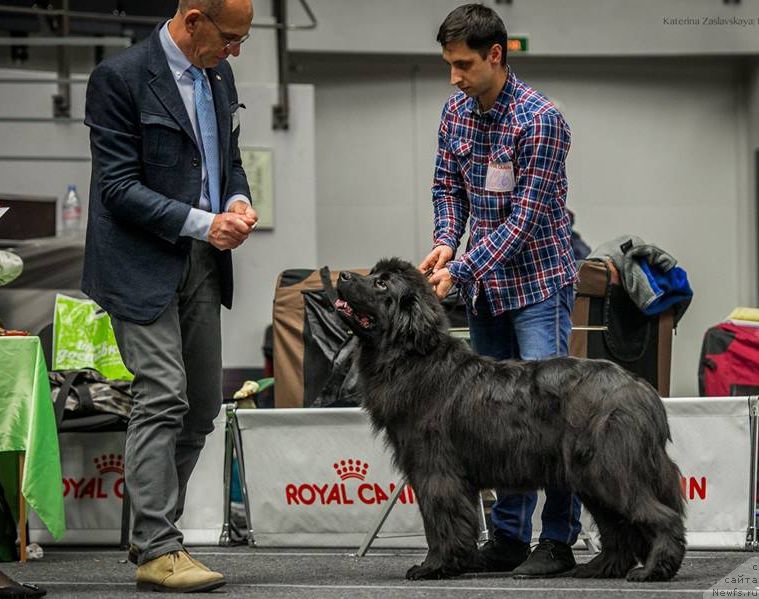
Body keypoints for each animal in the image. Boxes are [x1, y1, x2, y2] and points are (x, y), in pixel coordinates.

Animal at [336, 256, 684, 580]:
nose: (342, 275)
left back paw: (653, 570)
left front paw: (433, 566)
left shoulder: (436, 471)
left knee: (660, 516)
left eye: (382, 284)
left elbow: (440, 522)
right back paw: (600, 567)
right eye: (373, 274)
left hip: (609, 470)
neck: (412, 357)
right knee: (618, 527)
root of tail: (642, 389)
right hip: (591, 476)